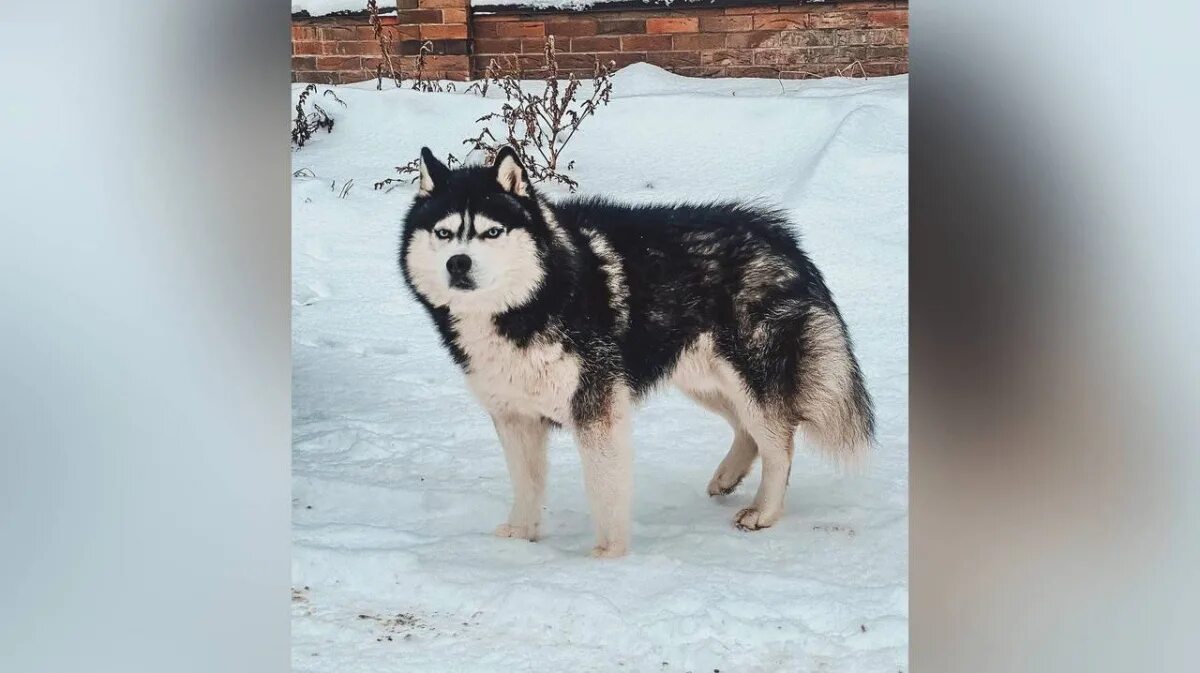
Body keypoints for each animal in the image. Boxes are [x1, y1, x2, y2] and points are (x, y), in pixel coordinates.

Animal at [398, 146, 878, 556]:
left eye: (491, 232)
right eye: (443, 233)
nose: (458, 263)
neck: (530, 303)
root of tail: (775, 230)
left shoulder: (597, 406)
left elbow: (603, 488)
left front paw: (608, 556)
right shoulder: (513, 414)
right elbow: (527, 482)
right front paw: (520, 537)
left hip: (748, 376)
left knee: (779, 440)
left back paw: (765, 511)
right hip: (700, 377)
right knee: (748, 430)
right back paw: (727, 477)